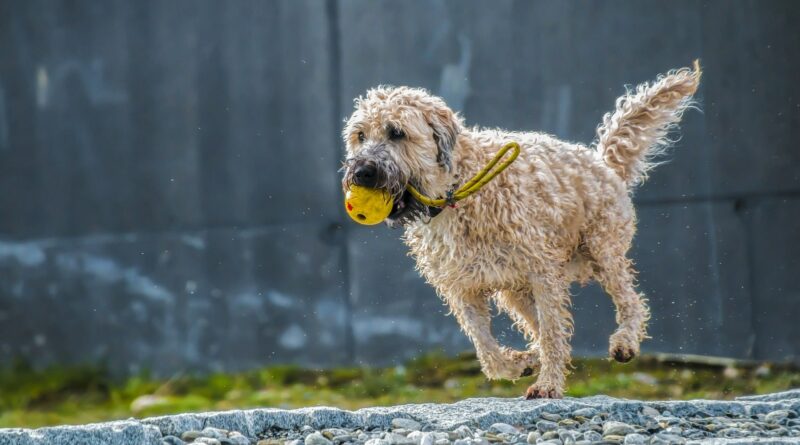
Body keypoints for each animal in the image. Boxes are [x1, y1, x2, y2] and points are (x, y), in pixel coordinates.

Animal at [342, 60, 700, 398]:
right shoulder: (463, 288)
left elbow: (553, 332)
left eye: (396, 132)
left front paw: (548, 384)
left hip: (602, 251)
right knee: (543, 325)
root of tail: (602, 163)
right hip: (515, 290)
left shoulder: (543, 273)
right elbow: (487, 348)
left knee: (630, 301)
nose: (362, 172)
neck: (457, 190)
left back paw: (625, 342)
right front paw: (519, 364)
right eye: (360, 136)